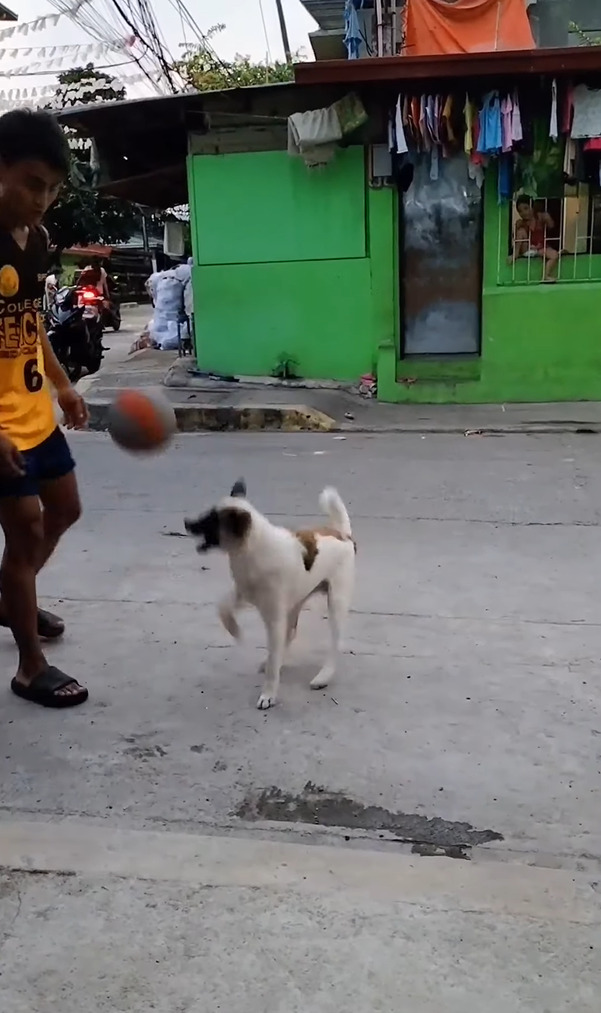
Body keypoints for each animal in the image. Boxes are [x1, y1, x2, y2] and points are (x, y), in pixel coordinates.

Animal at [185, 484, 354, 709]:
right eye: (208, 514)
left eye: (212, 519)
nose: (186, 523)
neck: (251, 550)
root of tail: (343, 534)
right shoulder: (243, 595)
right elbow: (223, 609)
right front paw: (235, 631)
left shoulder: (273, 618)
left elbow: (273, 659)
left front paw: (268, 694)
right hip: (295, 601)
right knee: (290, 633)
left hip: (335, 602)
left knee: (334, 643)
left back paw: (323, 676)